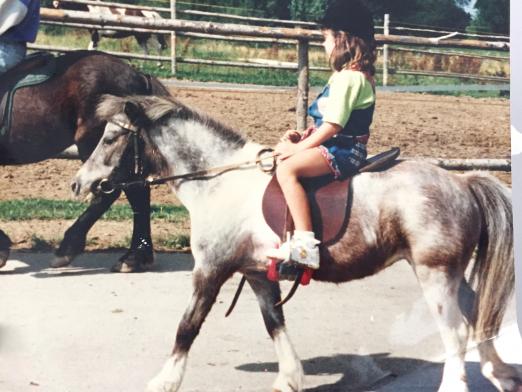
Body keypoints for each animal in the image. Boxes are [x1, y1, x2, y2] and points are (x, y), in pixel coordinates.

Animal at [0, 50, 169, 272]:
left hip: (96, 143)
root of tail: (138, 75)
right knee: (137, 191)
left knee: (113, 192)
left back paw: (71, 248)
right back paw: (136, 256)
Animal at [72, 95, 516, 392]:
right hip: (450, 273)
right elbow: (274, 322)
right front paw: (289, 378)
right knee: (476, 312)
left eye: (111, 138)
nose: (79, 184)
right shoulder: (256, 274)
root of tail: (462, 182)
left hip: (434, 273)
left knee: (455, 331)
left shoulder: (211, 270)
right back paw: (501, 373)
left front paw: (164, 381)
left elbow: (187, 326)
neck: (218, 181)